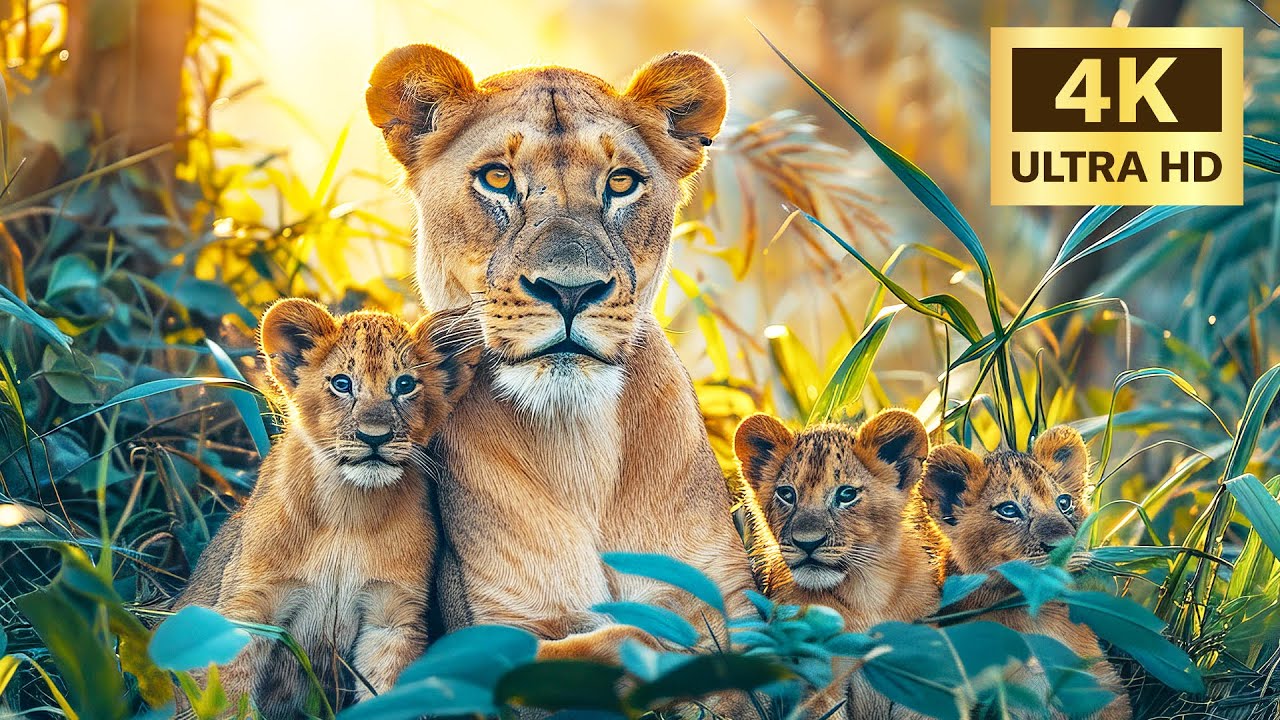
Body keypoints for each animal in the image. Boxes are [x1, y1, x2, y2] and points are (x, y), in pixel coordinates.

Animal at [173, 301, 480, 716]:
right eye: (341, 383)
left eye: (405, 385)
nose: (374, 437)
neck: (346, 509)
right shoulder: (249, 606)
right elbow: (230, 699)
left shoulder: (392, 618)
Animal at [364, 45, 756, 664]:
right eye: (497, 177)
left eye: (621, 182)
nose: (570, 291)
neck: (577, 445)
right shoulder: (480, 635)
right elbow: (617, 640)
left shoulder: (735, 597)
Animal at [735, 409, 944, 719]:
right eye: (787, 494)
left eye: (846, 495)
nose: (807, 543)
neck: (866, 596)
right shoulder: (817, 680)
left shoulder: (922, 673)